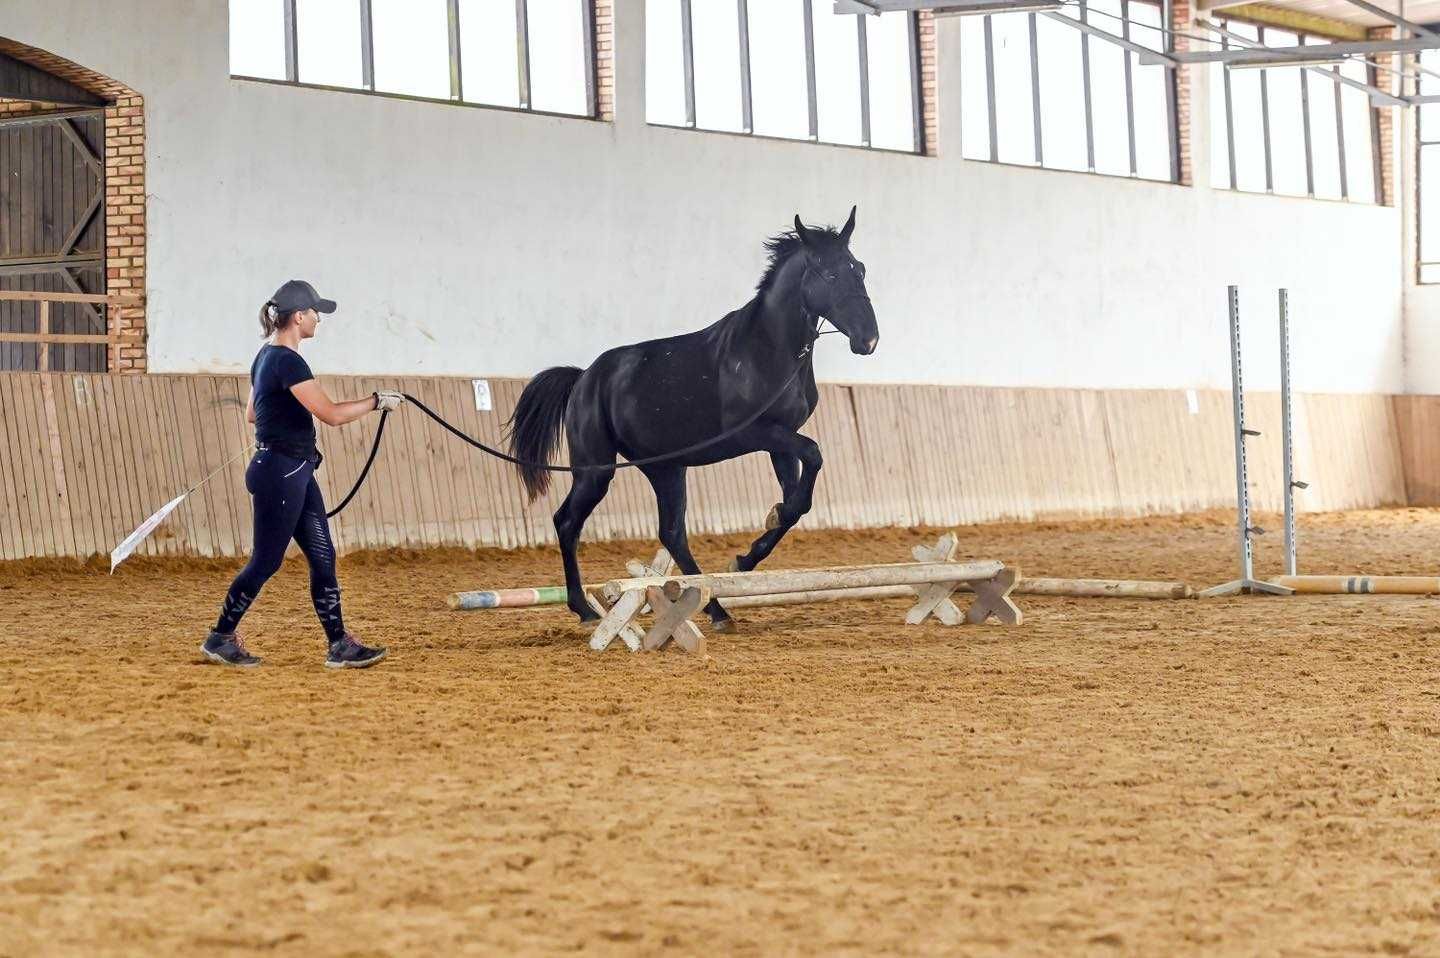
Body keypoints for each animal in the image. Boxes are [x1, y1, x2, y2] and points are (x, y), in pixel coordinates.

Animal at [512, 208, 881, 628]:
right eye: (831, 274)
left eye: (860, 269)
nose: (868, 340)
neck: (768, 349)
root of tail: (583, 378)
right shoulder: (757, 433)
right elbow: (813, 458)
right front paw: (746, 554)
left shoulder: (782, 438)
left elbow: (796, 504)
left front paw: (748, 553)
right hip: (595, 471)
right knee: (567, 522)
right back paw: (586, 610)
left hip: (666, 468)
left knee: (671, 533)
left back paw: (716, 609)